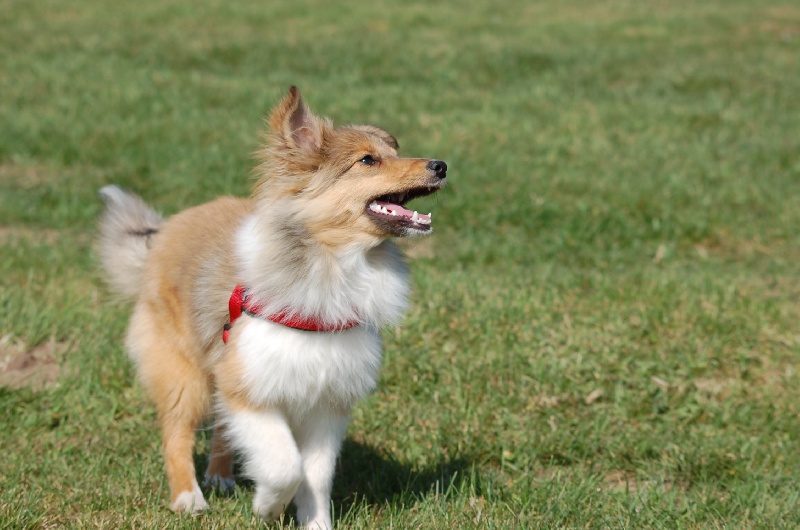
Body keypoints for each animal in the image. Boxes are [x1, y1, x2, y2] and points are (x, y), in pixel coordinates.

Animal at [97, 85, 446, 524]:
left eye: (393, 150)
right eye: (368, 160)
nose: (442, 165)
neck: (332, 265)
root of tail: (161, 233)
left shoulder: (327, 402)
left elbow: (316, 476)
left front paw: (315, 523)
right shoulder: (251, 386)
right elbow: (285, 466)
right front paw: (266, 506)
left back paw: (220, 476)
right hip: (184, 371)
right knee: (175, 432)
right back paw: (189, 498)